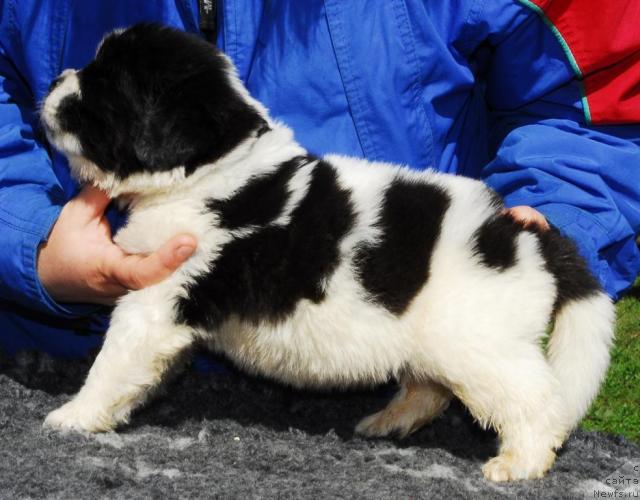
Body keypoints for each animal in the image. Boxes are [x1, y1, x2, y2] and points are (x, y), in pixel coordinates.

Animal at [40, 23, 616, 480]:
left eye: (103, 85)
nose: (52, 82)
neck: (214, 168)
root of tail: (525, 236)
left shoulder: (157, 298)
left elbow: (113, 361)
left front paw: (74, 415)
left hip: (480, 343)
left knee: (535, 400)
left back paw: (522, 461)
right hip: (440, 342)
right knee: (431, 387)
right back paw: (389, 421)